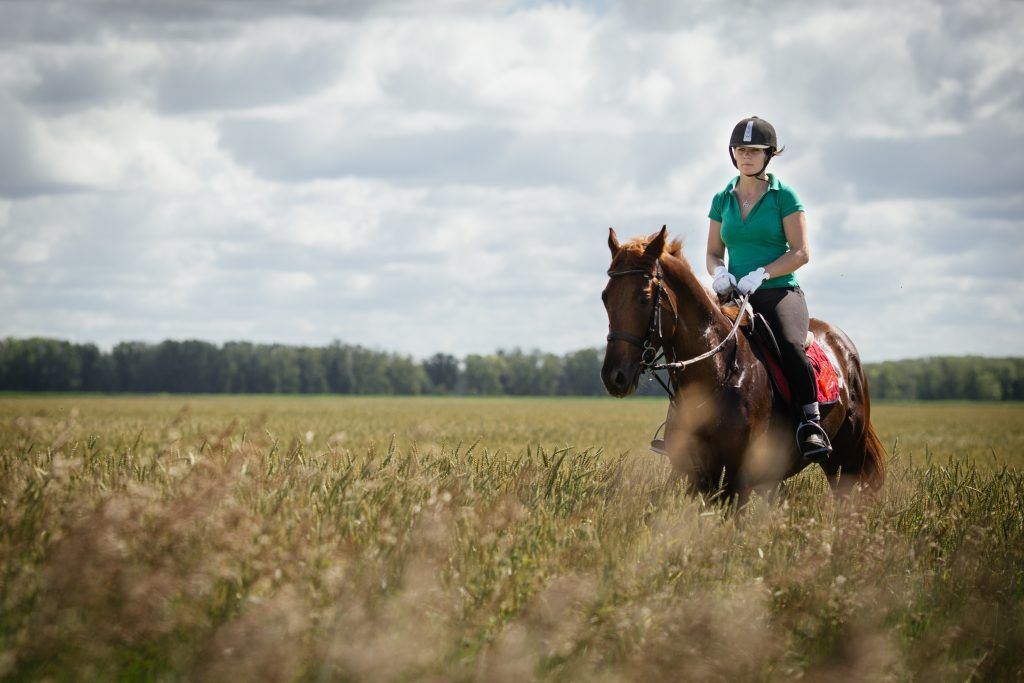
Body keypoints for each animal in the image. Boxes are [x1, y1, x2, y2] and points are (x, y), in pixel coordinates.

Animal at [598, 227, 888, 499]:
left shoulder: (738, 475)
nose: (614, 377)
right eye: (605, 297)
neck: (718, 371)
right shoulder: (698, 475)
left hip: (847, 457)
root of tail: (844, 345)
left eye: (645, 297)